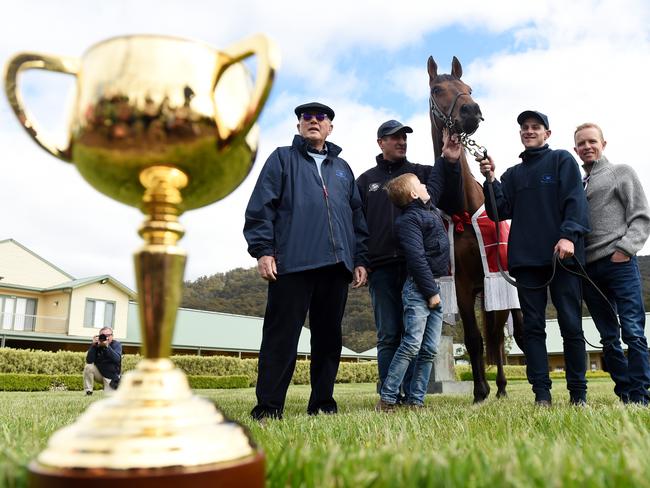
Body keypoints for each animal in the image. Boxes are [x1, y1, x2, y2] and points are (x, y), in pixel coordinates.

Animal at [428, 55, 524, 402]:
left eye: (468, 87)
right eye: (437, 89)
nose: (471, 110)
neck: (463, 209)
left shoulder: (493, 278)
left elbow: (492, 337)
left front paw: (490, 387)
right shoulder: (463, 284)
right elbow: (473, 338)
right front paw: (480, 390)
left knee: (506, 334)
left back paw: (504, 387)